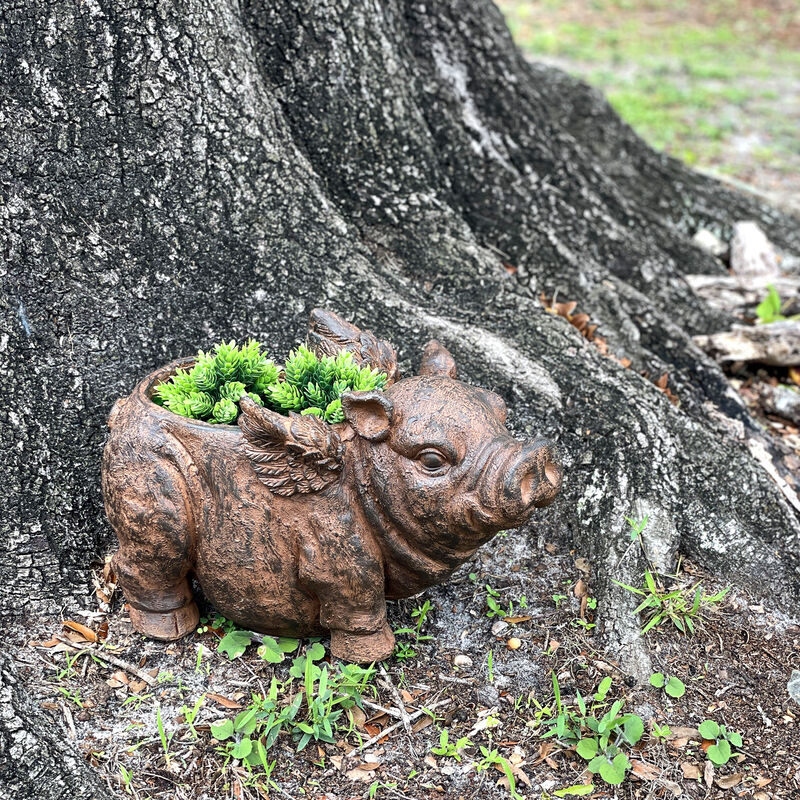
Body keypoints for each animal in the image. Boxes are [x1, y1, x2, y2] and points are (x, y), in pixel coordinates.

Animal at [102, 310, 562, 662]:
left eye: (501, 412)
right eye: (432, 460)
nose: (534, 456)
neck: (365, 484)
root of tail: (124, 408)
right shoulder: (336, 553)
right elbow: (359, 601)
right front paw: (371, 658)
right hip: (150, 498)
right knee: (143, 564)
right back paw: (169, 630)